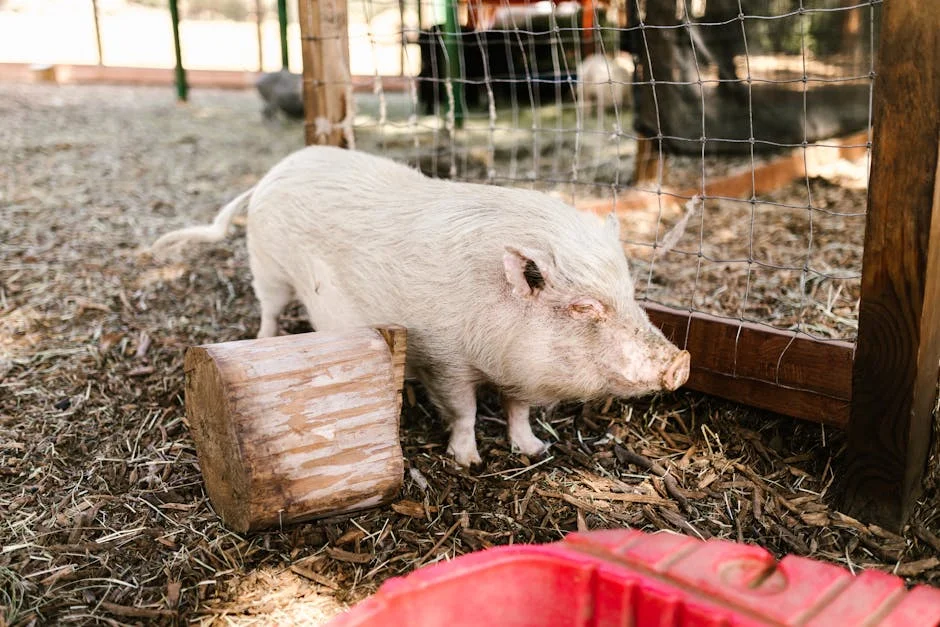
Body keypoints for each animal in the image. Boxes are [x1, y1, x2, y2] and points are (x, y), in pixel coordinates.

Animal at [150, 147, 690, 466]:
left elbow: (517, 411)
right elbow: (465, 410)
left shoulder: (518, 373)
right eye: (582, 308)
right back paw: (265, 340)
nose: (681, 362)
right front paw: (468, 462)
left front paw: (536, 449)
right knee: (267, 307)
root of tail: (272, 172)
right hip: (266, 264)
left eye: (630, 293)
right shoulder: (442, 360)